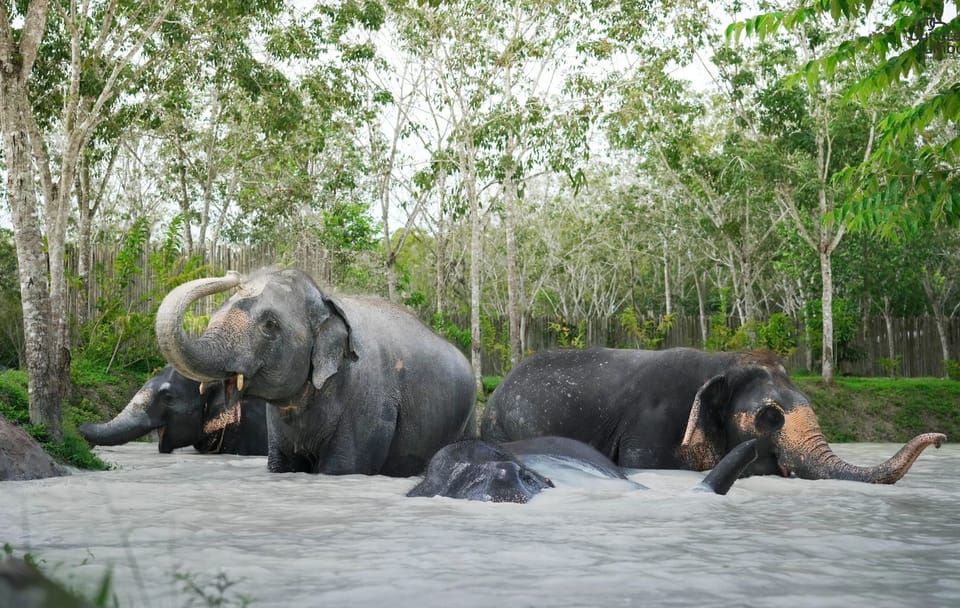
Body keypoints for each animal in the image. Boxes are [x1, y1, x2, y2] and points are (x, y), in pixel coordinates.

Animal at [154, 268, 476, 476]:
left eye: (270, 324)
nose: (233, 274)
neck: (328, 299)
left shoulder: (370, 404)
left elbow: (344, 466)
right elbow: (282, 465)